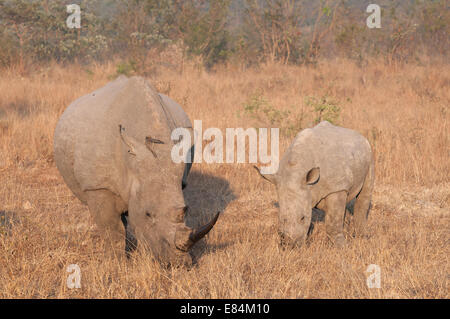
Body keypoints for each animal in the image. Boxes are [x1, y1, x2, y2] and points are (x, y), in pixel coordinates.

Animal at [255, 121, 374, 249]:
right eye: (282, 219)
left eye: (302, 218)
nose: (290, 245)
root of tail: (360, 136)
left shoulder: (337, 187)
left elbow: (333, 219)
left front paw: (342, 246)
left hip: (369, 155)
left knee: (364, 193)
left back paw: (363, 236)